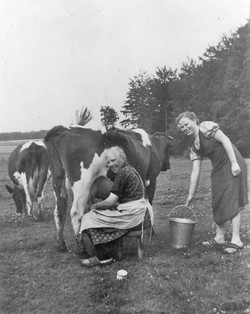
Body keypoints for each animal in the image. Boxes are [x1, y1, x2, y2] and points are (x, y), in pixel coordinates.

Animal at [44, 125, 173, 253]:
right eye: (168, 150)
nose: (168, 166)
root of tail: (64, 130)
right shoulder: (151, 179)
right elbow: (149, 202)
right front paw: (151, 230)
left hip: (58, 180)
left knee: (59, 211)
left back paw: (61, 245)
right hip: (82, 184)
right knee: (76, 213)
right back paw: (82, 250)